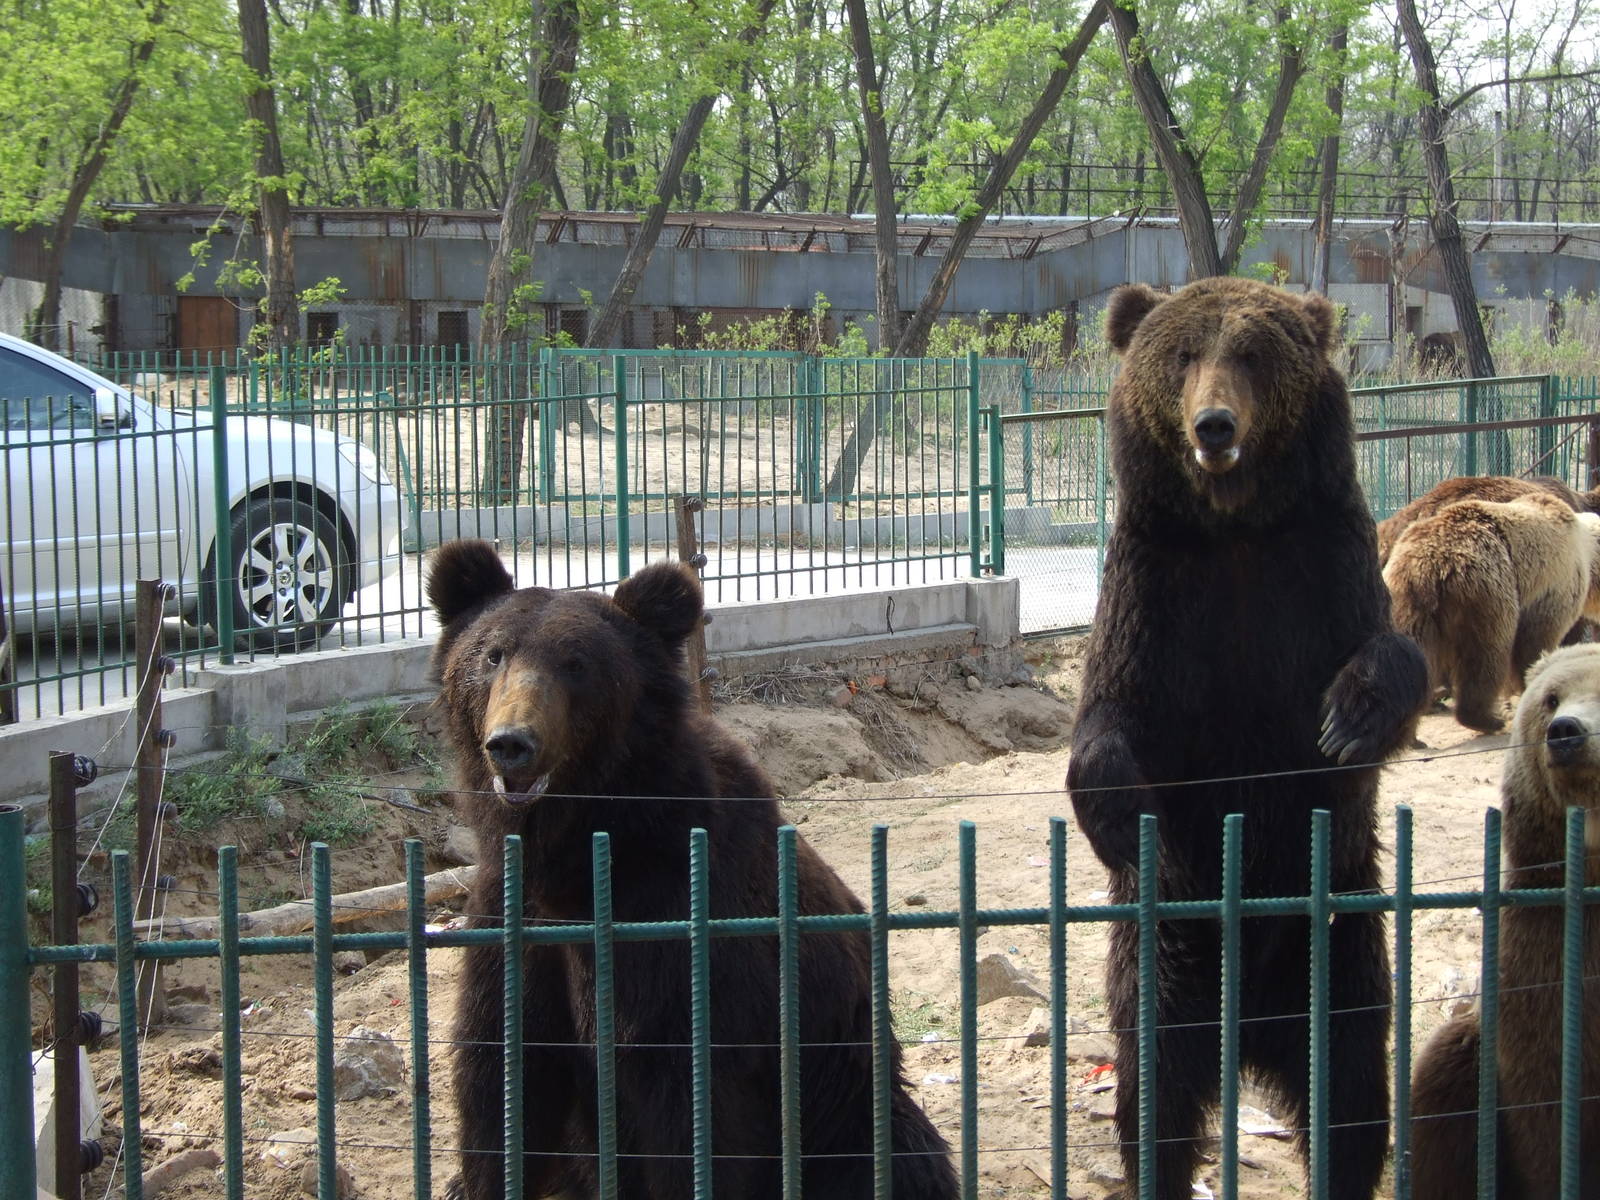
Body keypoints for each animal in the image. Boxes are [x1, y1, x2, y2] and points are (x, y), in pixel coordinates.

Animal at [427, 539, 958, 1200]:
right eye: (491, 654)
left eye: (577, 663)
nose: (512, 743)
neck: (578, 848)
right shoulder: (513, 914)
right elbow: (501, 1077)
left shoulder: (676, 926)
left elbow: (685, 1105)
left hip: (845, 1091)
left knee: (899, 1152)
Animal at [1066, 276, 1430, 1200]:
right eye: (1183, 354)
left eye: (1255, 354)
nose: (1214, 426)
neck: (1233, 529)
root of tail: (1252, 1035)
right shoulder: (1155, 590)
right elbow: (1111, 714)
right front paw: (1115, 813)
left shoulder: (1323, 564)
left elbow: (1391, 651)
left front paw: (1348, 721)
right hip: (1171, 942)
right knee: (1156, 1083)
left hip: (1335, 937)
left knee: (1349, 1088)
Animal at [1383, 491, 1600, 732]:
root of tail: (1430, 562)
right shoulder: (1554, 584)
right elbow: (1535, 641)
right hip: (1487, 588)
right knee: (1488, 653)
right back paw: (1487, 719)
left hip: (1407, 599)